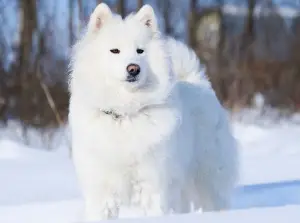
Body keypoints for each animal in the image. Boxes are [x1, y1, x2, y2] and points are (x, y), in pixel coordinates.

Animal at [68, 3, 239, 221]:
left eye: (140, 51)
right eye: (114, 51)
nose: (133, 68)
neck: (125, 113)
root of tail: (199, 83)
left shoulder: (153, 184)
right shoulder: (102, 188)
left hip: (207, 178)